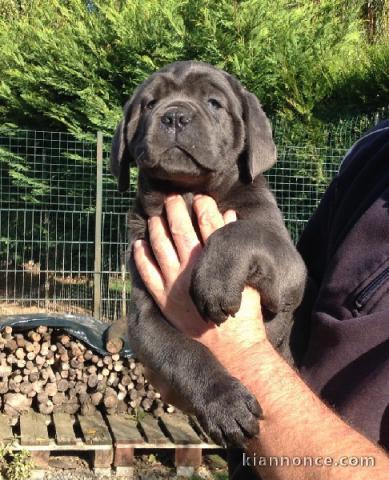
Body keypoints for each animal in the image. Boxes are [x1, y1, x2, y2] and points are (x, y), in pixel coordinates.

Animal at [109, 62, 306, 448]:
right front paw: (226, 404)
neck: (188, 193)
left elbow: (239, 232)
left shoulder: (289, 264)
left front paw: (214, 285)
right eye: (149, 104)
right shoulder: (144, 316)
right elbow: (185, 355)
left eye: (214, 103)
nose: (174, 116)